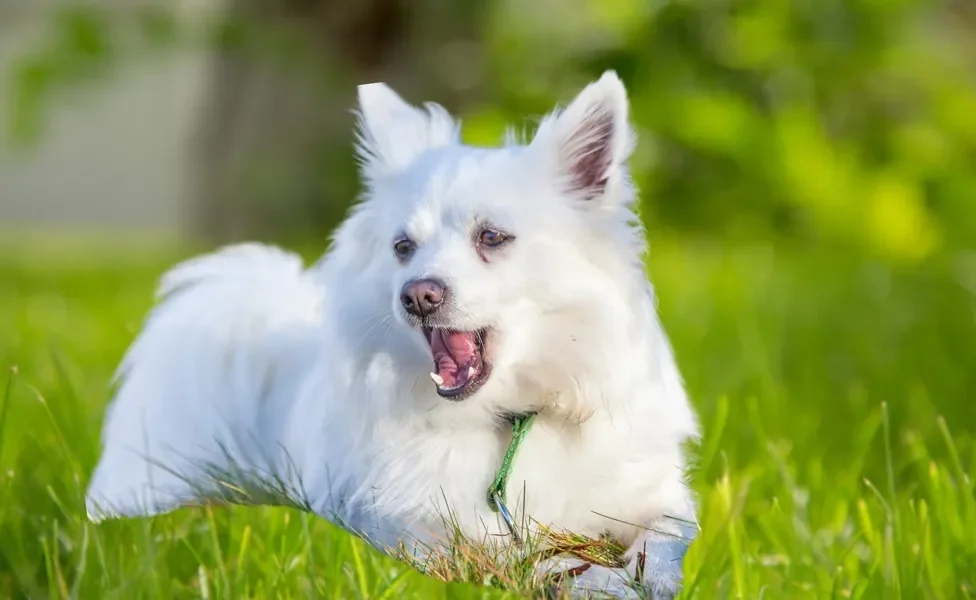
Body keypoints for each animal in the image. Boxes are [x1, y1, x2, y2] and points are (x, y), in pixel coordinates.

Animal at [82, 70, 692, 596]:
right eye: (404, 247)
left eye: (492, 237)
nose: (417, 295)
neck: (511, 418)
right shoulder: (422, 536)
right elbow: (527, 558)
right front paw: (591, 579)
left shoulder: (651, 495)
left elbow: (666, 535)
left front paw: (643, 577)